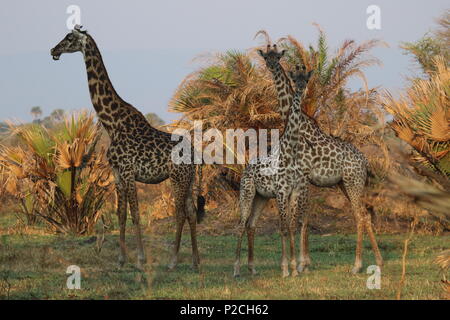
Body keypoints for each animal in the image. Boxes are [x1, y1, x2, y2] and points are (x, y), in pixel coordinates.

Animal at [234, 65, 312, 278]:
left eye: (306, 79)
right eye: (294, 79)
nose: (300, 89)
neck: (290, 150)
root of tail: (245, 170)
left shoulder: (293, 191)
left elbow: (291, 227)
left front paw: (294, 268)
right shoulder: (281, 192)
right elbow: (283, 228)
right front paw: (285, 269)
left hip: (261, 197)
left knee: (251, 224)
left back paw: (252, 268)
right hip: (247, 192)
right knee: (241, 224)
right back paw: (236, 269)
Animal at [256, 43, 384, 274]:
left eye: (277, 57)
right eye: (265, 57)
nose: (271, 66)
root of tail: (365, 162)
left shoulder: (304, 177)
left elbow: (302, 219)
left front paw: (302, 263)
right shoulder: (306, 180)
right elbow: (303, 218)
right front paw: (304, 262)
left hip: (353, 181)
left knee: (361, 215)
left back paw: (357, 265)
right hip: (345, 183)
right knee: (364, 215)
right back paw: (378, 261)